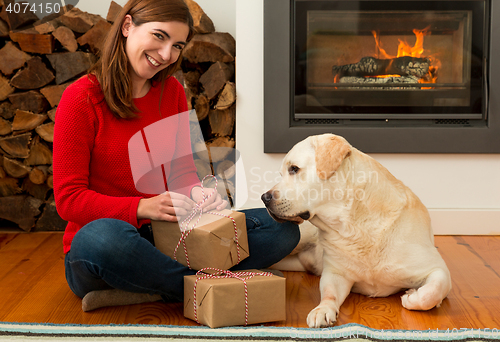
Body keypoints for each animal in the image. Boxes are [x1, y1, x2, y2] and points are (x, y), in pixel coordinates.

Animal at [264, 134, 452, 328]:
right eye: (282, 174)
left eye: (294, 169)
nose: (265, 198)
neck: (354, 225)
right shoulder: (336, 273)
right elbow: (329, 293)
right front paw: (322, 309)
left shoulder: (438, 269)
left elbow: (430, 293)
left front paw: (411, 296)